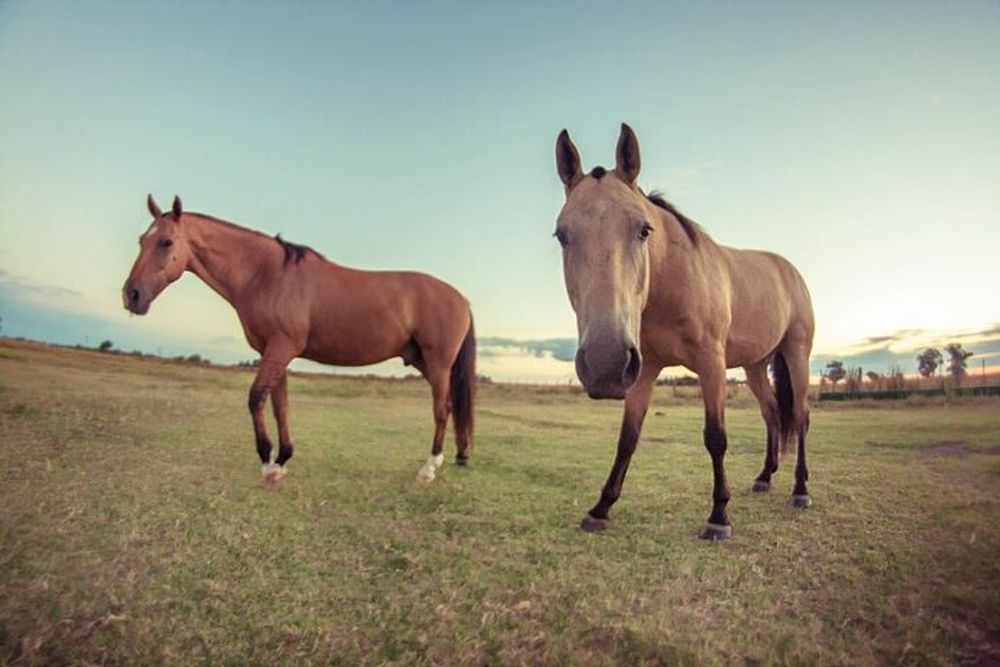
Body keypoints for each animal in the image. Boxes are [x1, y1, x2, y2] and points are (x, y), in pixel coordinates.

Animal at [123, 195, 475, 484]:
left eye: (166, 242)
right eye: (141, 240)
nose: (131, 296)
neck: (267, 275)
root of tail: (461, 299)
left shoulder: (281, 348)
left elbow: (256, 398)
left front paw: (267, 464)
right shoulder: (274, 352)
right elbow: (281, 405)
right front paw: (282, 460)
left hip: (438, 363)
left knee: (441, 408)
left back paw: (428, 469)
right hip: (422, 361)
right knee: (451, 405)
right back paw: (459, 456)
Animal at [553, 124, 815, 540]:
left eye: (643, 230)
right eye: (561, 235)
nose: (603, 363)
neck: (673, 280)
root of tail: (789, 269)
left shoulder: (711, 364)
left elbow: (716, 437)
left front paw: (719, 516)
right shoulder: (643, 369)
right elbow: (628, 439)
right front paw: (601, 508)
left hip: (796, 354)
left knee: (801, 416)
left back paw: (800, 489)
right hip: (755, 366)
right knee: (773, 413)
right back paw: (764, 477)